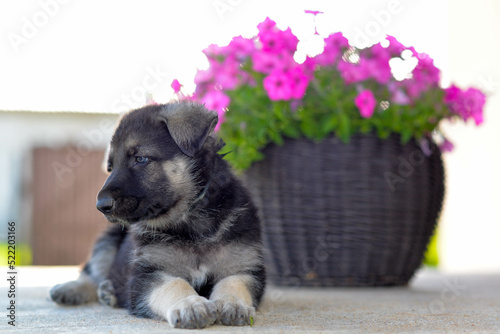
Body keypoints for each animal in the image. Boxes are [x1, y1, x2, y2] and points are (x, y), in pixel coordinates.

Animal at [49, 102, 266, 328]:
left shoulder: (243, 265)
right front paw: (190, 305)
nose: (101, 205)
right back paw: (74, 289)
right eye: (110, 167)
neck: (191, 217)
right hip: (109, 238)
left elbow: (234, 282)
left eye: (140, 159)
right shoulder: (149, 275)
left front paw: (233, 303)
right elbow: (174, 284)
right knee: (92, 271)